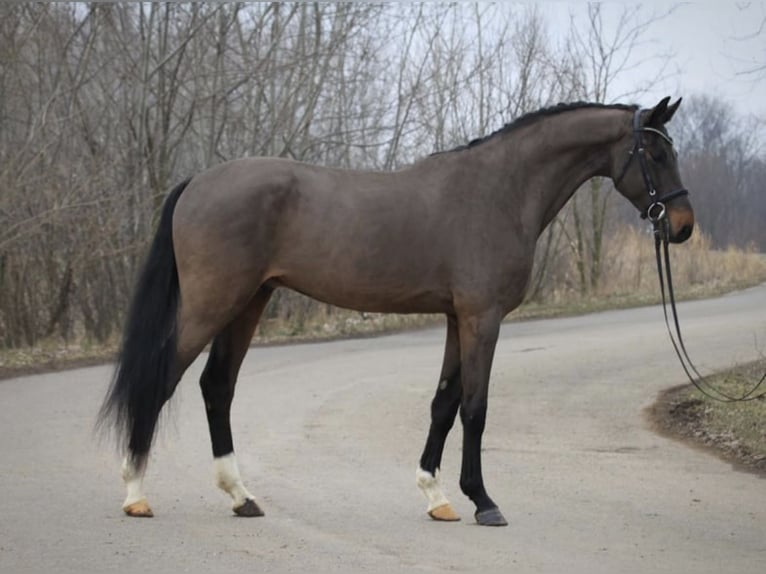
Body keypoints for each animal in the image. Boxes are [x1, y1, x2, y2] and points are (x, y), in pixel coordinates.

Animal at [100, 98, 696, 528]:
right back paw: (135, 493)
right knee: (162, 380)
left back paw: (240, 496)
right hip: (214, 303)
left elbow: (444, 404)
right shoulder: (483, 318)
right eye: (656, 154)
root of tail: (197, 183)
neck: (498, 190)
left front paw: (437, 496)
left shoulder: (458, 319)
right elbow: (475, 409)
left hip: (249, 302)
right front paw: (483, 502)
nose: (683, 225)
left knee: (216, 386)